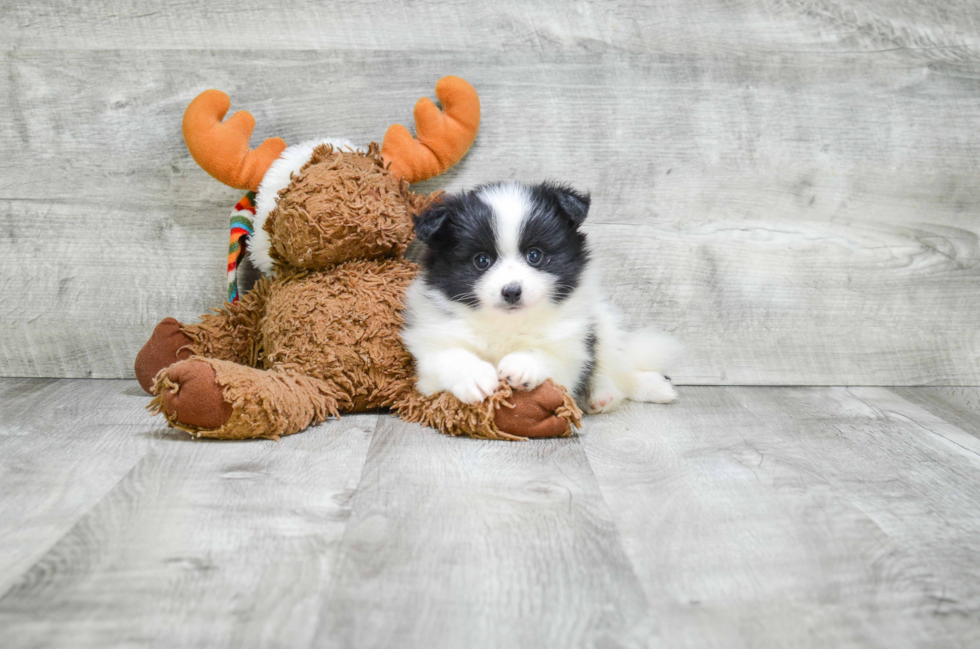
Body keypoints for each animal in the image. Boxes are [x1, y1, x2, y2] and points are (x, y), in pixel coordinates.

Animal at [402, 180, 676, 412]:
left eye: (534, 255)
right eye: (481, 260)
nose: (512, 291)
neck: (507, 324)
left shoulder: (571, 352)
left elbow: (551, 357)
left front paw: (523, 364)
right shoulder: (429, 356)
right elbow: (447, 355)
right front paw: (474, 377)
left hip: (602, 326)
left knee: (614, 367)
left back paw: (618, 391)